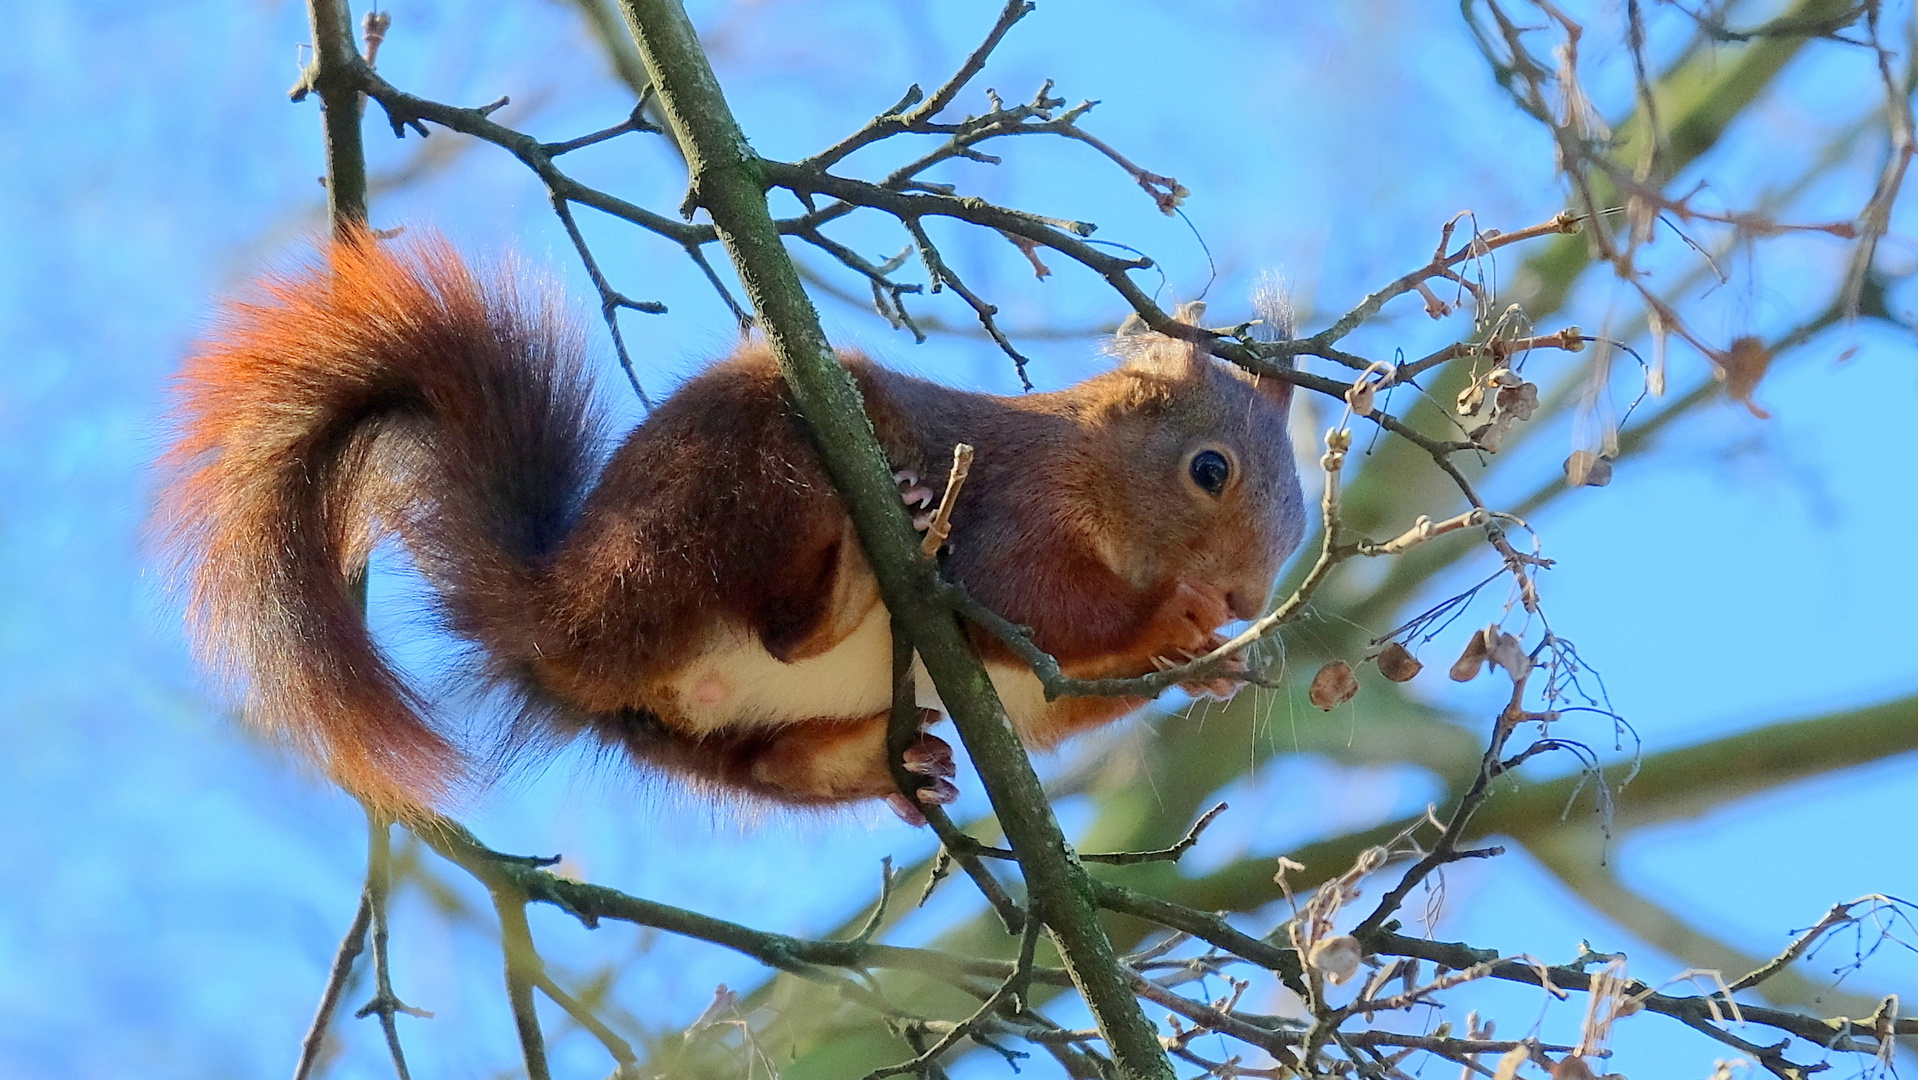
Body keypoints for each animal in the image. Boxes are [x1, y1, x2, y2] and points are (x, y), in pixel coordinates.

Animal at [157, 228, 1311, 821]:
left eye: (1299, 525)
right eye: (1210, 470)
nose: (1247, 597)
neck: (1087, 464)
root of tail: (552, 619)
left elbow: (1062, 696)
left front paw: (1210, 662)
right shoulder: (1008, 509)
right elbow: (1031, 608)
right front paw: (1174, 620)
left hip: (686, 731)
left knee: (766, 765)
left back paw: (883, 766)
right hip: (745, 484)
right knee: (786, 628)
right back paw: (856, 576)